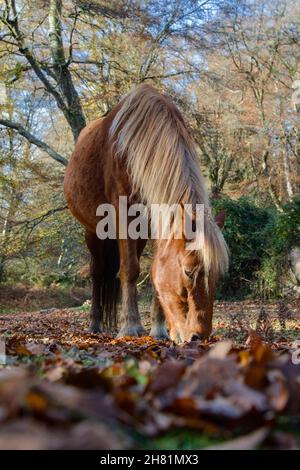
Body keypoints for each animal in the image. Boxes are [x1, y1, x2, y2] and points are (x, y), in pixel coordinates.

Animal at [63, 84, 227, 342]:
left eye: (216, 276)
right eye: (188, 272)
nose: (199, 336)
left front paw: (159, 329)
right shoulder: (122, 216)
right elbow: (129, 270)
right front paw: (130, 326)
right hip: (93, 232)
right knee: (97, 273)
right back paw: (95, 324)